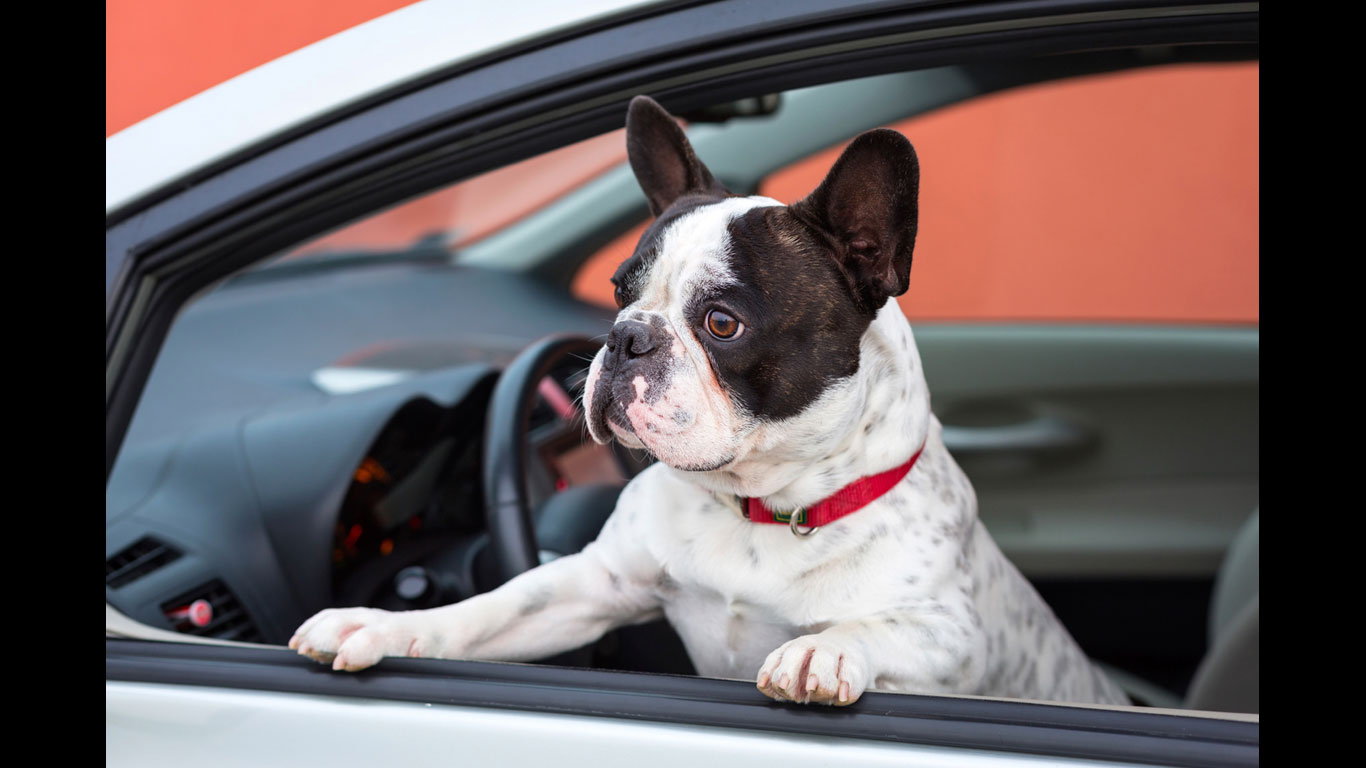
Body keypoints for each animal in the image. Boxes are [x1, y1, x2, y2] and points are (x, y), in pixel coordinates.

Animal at [290, 95, 1131, 705]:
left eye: (722, 323)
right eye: (619, 291)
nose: (627, 336)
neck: (759, 505)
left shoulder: (953, 636)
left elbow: (878, 627)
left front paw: (822, 650)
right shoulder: (592, 587)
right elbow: (493, 608)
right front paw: (383, 625)